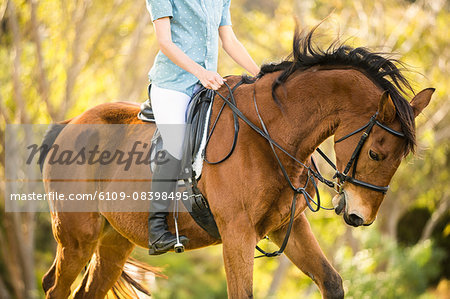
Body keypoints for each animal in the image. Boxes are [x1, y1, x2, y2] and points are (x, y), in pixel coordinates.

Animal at [41, 27, 432, 298]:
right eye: (376, 154)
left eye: (399, 160)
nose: (358, 217)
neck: (268, 135)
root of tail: (69, 125)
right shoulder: (237, 233)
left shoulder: (287, 226)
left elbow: (332, 282)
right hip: (77, 238)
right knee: (56, 288)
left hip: (113, 241)